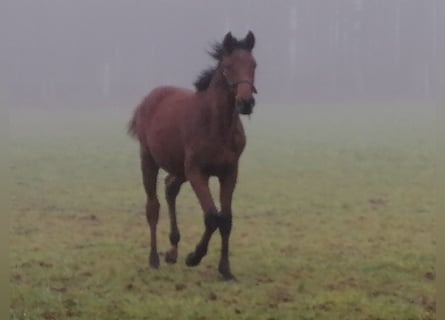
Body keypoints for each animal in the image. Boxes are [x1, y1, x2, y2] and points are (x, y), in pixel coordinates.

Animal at [126, 30, 256, 280]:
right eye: (227, 66)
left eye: (254, 64)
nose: (246, 103)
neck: (216, 126)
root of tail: (148, 98)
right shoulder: (197, 171)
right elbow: (212, 216)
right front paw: (194, 257)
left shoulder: (229, 172)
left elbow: (226, 219)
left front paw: (226, 270)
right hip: (149, 160)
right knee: (153, 206)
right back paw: (155, 258)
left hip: (179, 168)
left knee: (170, 187)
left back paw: (172, 251)